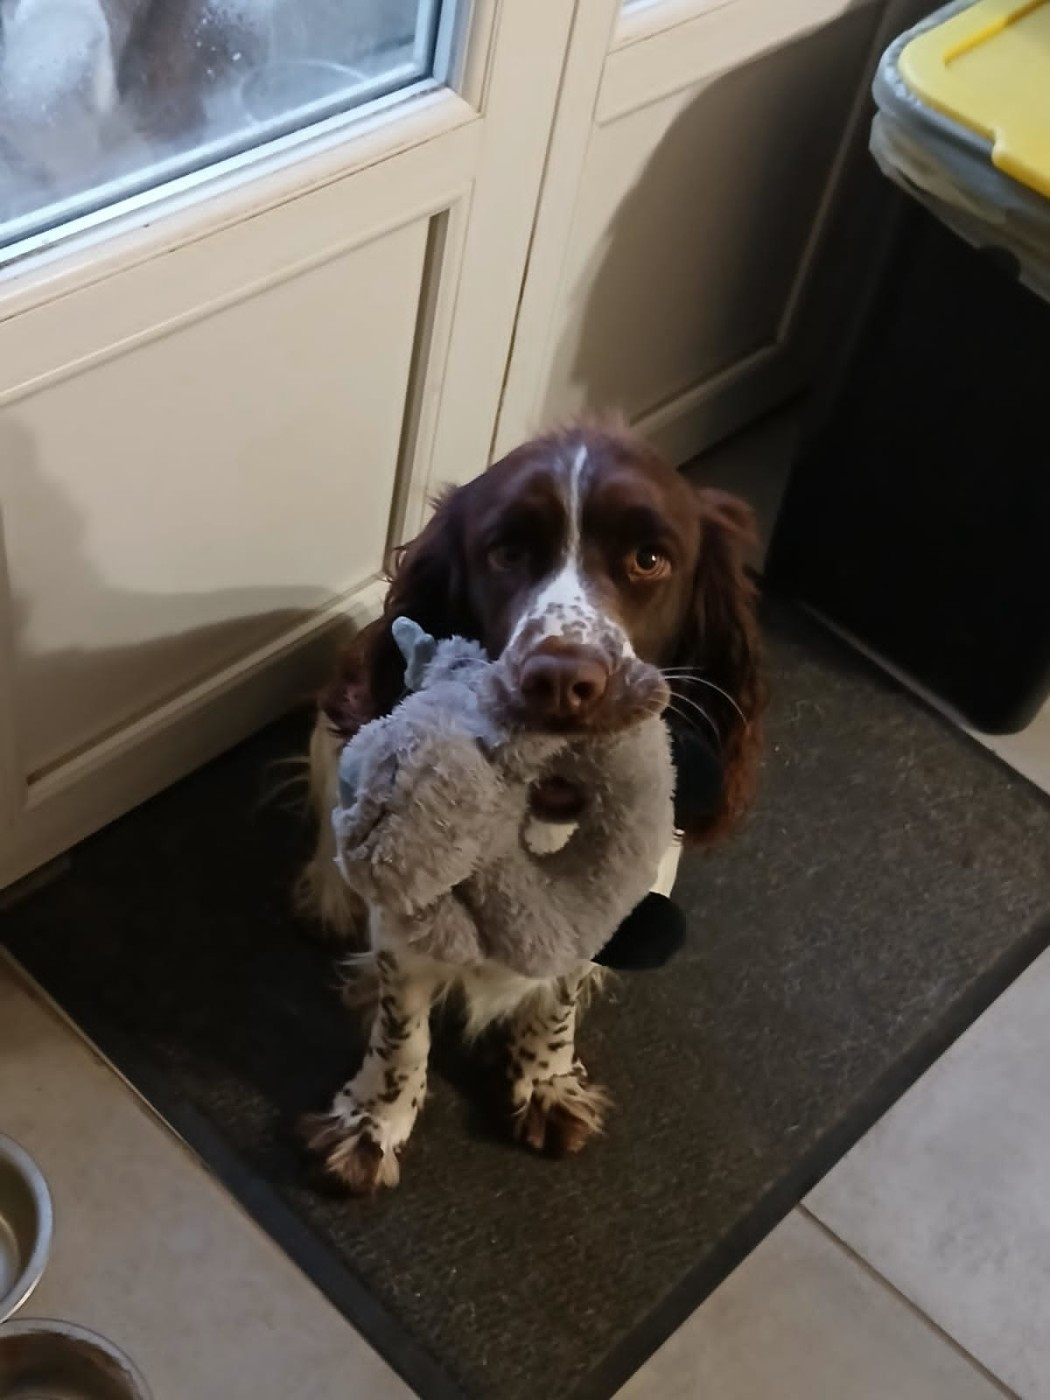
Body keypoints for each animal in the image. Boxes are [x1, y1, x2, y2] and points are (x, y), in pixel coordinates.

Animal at [299, 424, 762, 1193]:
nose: (562, 679)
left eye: (649, 559)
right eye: (507, 552)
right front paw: (373, 1123)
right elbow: (402, 1035)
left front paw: (545, 1081)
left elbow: (558, 998)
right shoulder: (403, 927)